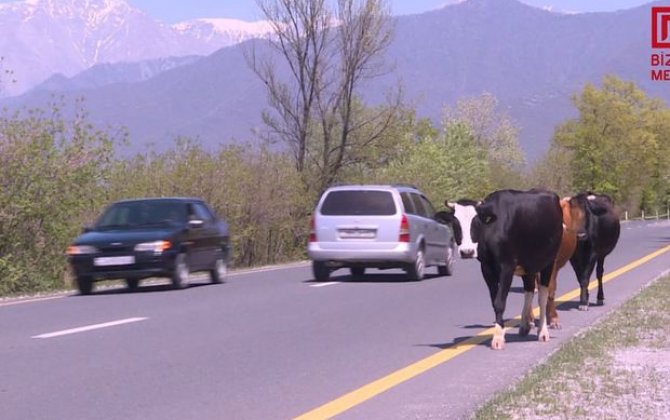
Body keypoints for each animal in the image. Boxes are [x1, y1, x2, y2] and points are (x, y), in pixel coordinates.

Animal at [472, 189, 568, 350]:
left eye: (475, 222)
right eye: (456, 223)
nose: (465, 251)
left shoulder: (507, 267)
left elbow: (500, 302)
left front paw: (498, 338)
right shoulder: (486, 268)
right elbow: (495, 301)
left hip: (548, 263)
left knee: (543, 295)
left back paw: (543, 332)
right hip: (529, 266)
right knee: (529, 291)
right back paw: (525, 326)